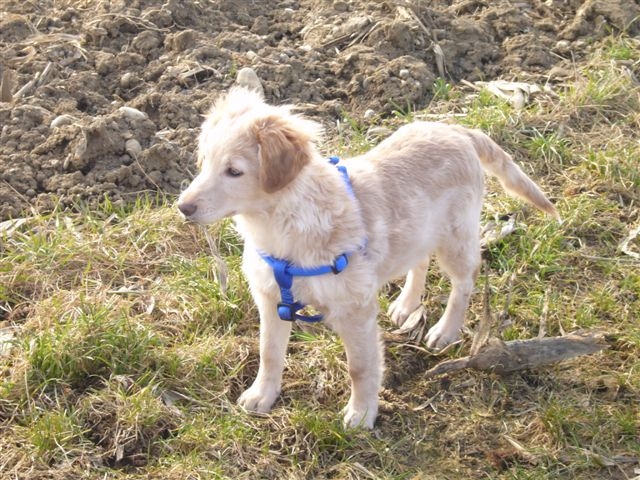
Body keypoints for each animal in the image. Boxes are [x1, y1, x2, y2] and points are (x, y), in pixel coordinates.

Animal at [177, 87, 560, 428]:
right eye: (204, 162)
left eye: (234, 171)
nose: (182, 207)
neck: (283, 223)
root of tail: (457, 130)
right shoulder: (272, 298)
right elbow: (268, 352)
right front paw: (262, 395)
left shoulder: (355, 309)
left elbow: (359, 367)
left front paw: (362, 414)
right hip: (419, 228)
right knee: (419, 260)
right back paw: (407, 303)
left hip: (456, 237)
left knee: (464, 282)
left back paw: (446, 330)